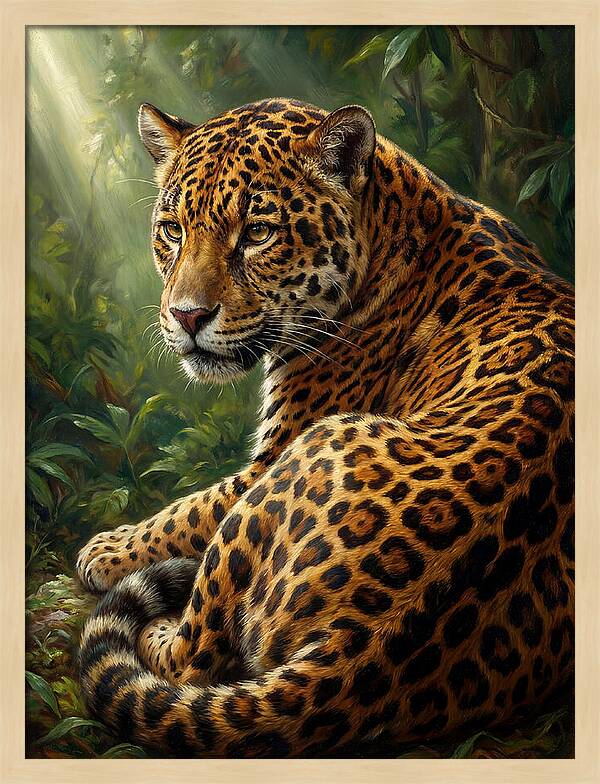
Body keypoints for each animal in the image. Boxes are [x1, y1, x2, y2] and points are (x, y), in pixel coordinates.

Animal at [77, 98, 574, 758]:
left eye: (257, 233)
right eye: (174, 229)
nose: (187, 316)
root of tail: (362, 648)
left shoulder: (275, 452)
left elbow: (189, 509)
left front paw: (107, 549)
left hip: (303, 458)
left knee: (192, 659)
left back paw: (159, 622)